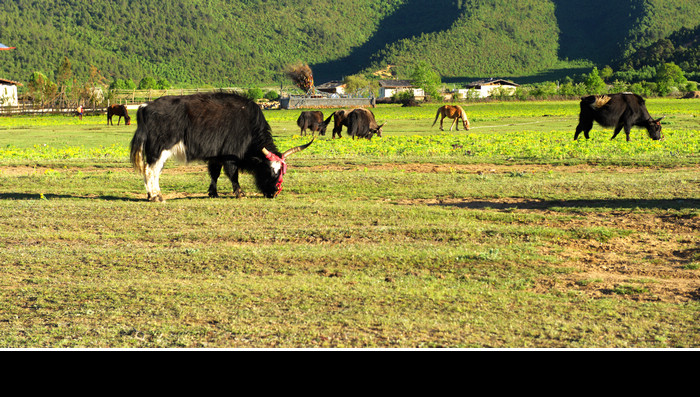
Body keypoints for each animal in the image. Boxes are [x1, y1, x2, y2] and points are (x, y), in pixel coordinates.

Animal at [129, 92, 314, 201]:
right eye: (271, 170)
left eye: (282, 171)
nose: (275, 192)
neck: (249, 126)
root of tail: (145, 107)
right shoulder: (230, 155)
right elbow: (233, 174)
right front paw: (240, 193)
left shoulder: (216, 156)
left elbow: (214, 173)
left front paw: (213, 193)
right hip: (159, 149)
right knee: (150, 170)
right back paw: (156, 196)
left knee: (152, 171)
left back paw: (150, 195)